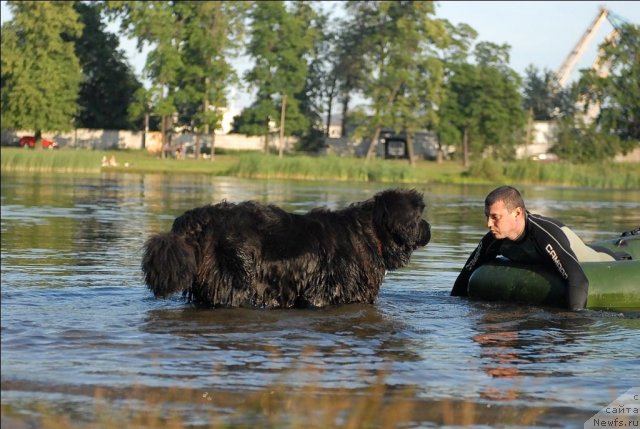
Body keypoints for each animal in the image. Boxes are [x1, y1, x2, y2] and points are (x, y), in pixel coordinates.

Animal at [142, 189, 432, 306]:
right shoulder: (324, 292)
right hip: (231, 281)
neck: (370, 234)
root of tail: (199, 219)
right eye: (419, 217)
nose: (429, 228)